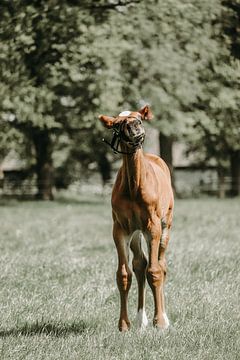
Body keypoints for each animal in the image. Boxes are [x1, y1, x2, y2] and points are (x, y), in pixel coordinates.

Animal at [98, 105, 173, 330]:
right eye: (117, 123)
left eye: (140, 117)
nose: (134, 126)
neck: (134, 187)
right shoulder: (120, 229)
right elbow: (124, 275)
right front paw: (124, 324)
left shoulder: (153, 227)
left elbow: (155, 271)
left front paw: (160, 323)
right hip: (136, 233)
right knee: (140, 264)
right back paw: (141, 319)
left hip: (165, 227)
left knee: (161, 265)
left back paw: (163, 316)